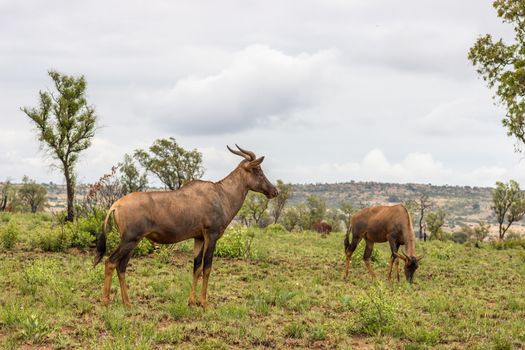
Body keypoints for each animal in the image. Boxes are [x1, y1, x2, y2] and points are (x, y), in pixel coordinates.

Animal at [93, 144, 278, 306]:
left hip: (133, 242)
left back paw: (128, 304)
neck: (220, 194)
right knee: (110, 262)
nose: (274, 191)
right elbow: (207, 268)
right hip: (130, 240)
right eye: (258, 170)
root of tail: (116, 204)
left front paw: (191, 302)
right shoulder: (211, 236)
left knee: (121, 266)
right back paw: (106, 302)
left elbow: (196, 268)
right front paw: (204, 303)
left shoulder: (199, 238)